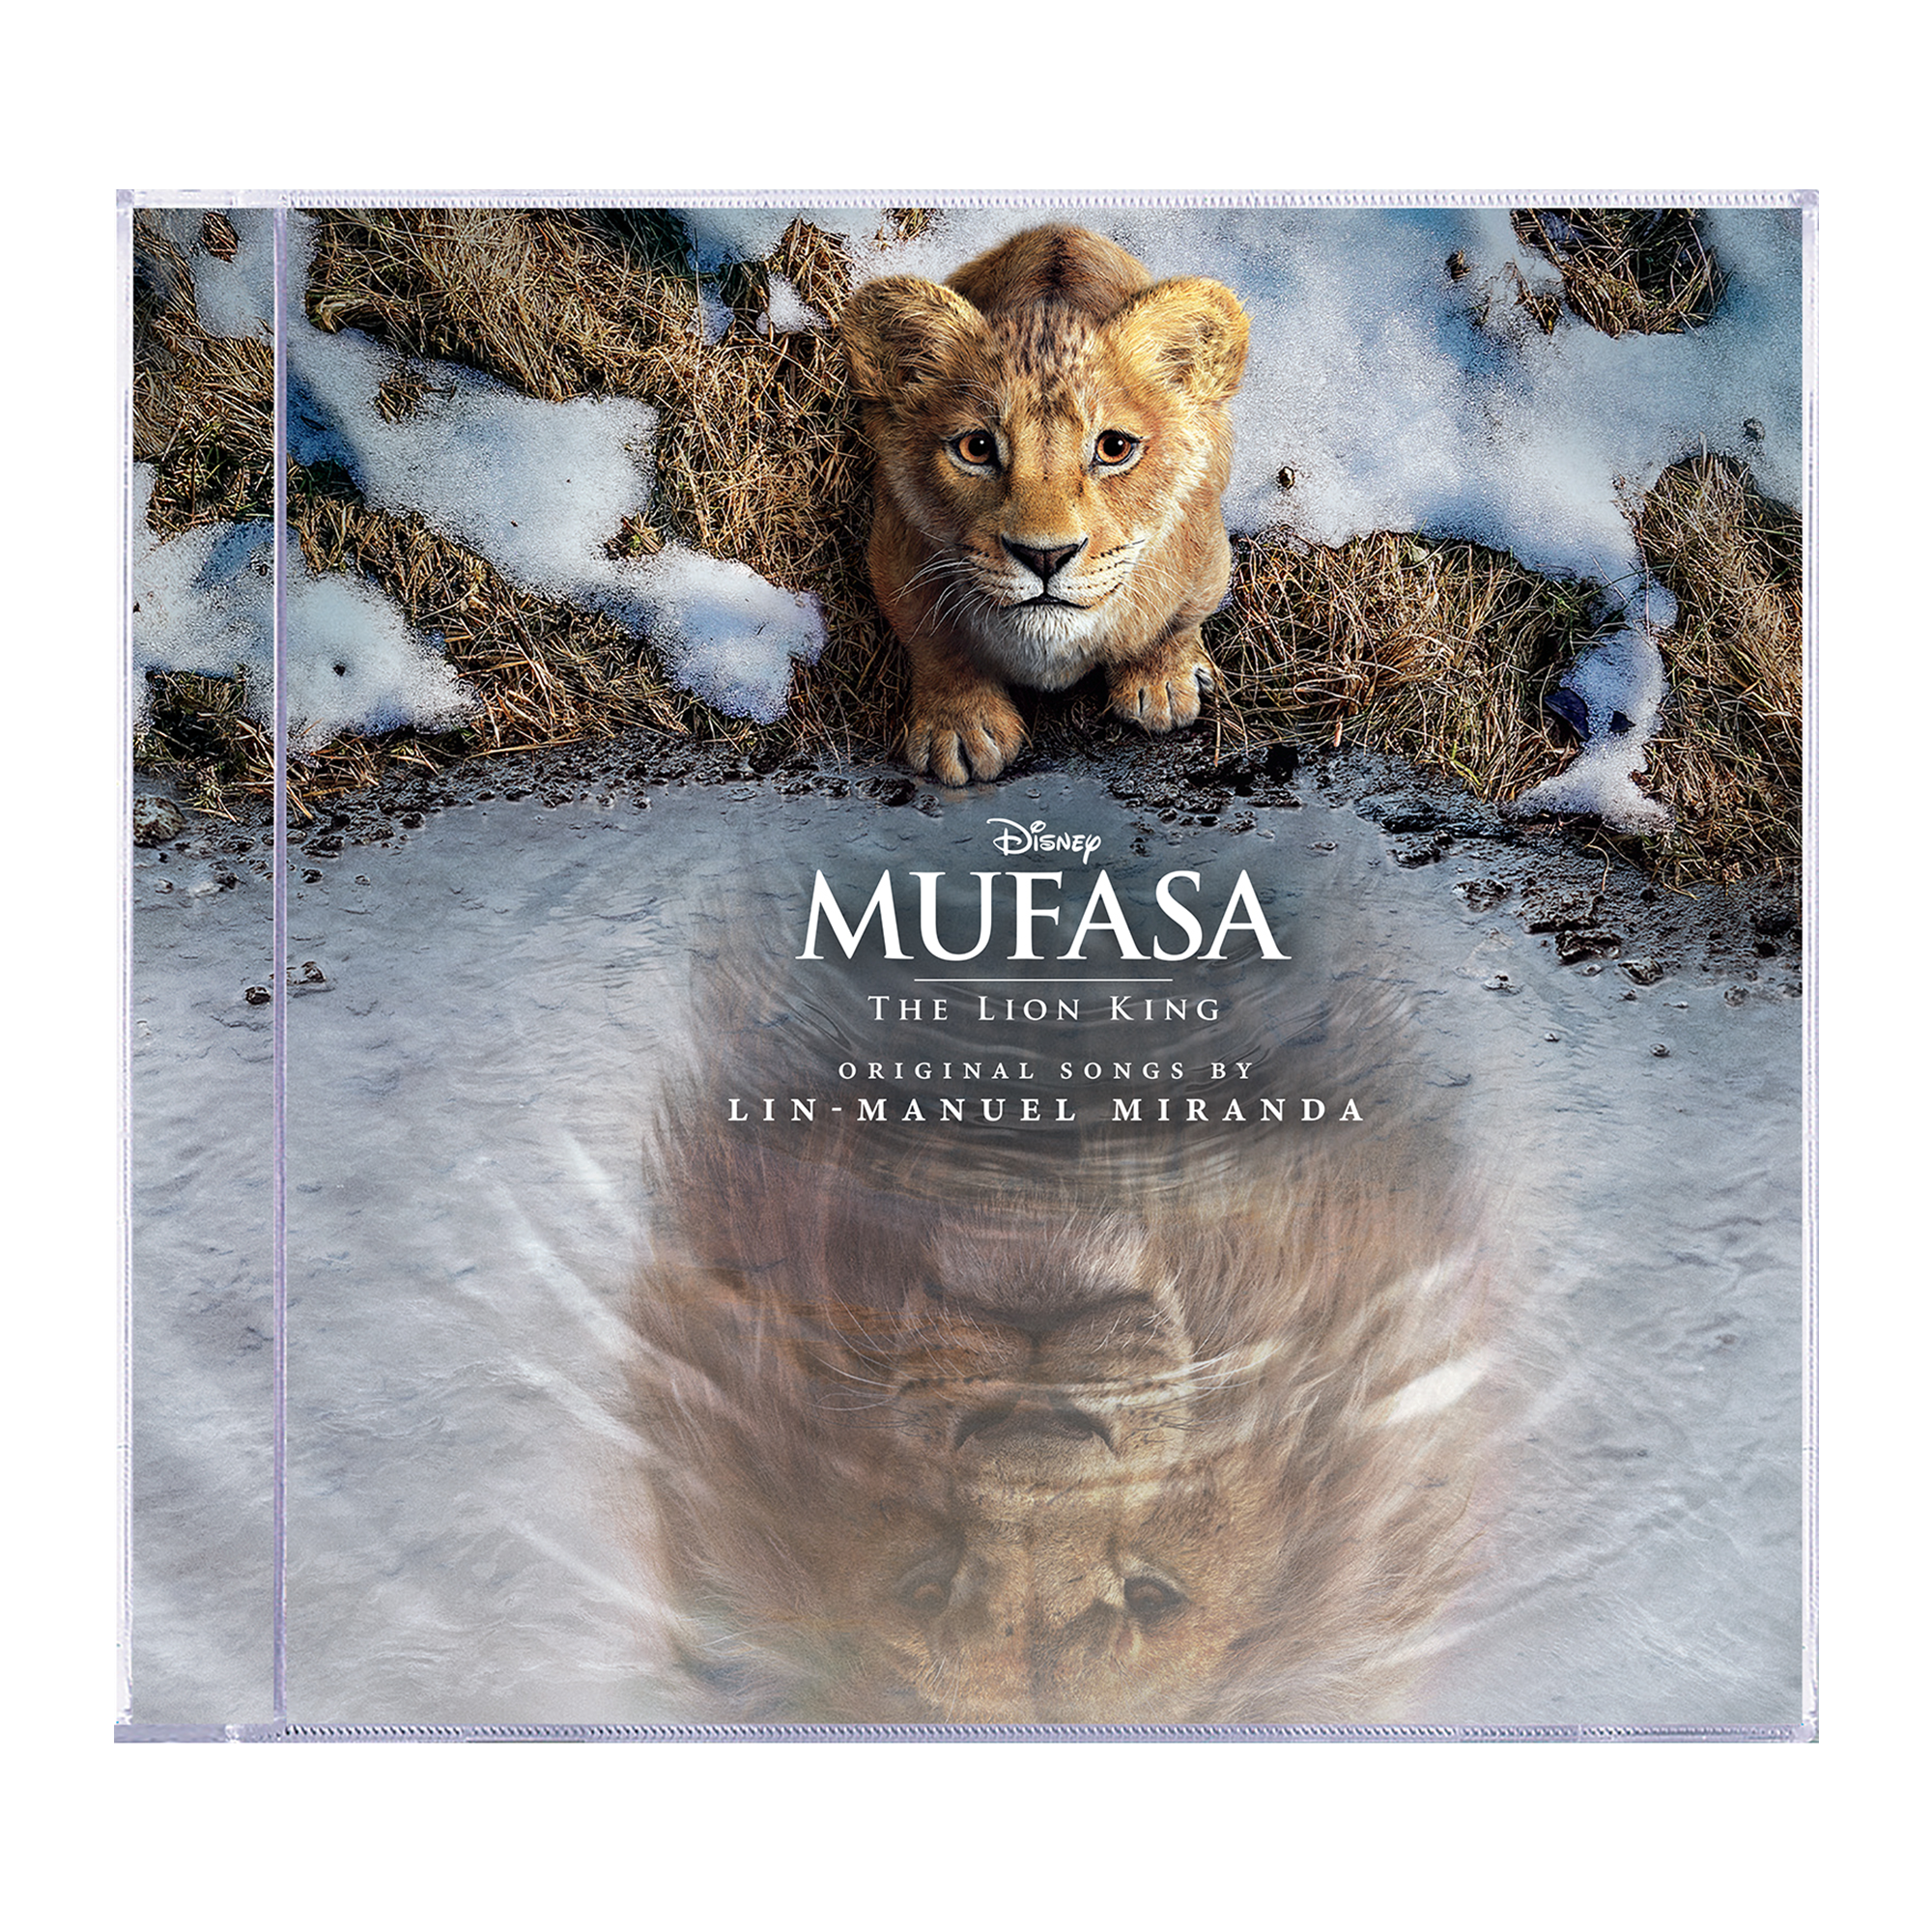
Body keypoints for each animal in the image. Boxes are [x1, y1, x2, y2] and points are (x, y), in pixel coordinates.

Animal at [840, 225, 1250, 787]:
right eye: (976, 448)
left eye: (1114, 448)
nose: (1044, 556)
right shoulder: (894, 555)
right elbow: (936, 645)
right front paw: (960, 729)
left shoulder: (1207, 552)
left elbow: (1176, 621)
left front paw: (1163, 683)